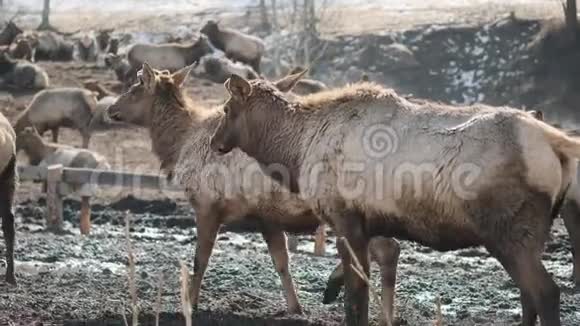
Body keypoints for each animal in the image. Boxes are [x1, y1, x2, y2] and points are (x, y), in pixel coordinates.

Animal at [105, 63, 394, 316]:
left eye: (136, 87)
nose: (110, 109)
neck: (178, 146)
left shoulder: (207, 205)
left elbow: (200, 259)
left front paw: (190, 303)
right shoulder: (267, 218)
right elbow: (282, 263)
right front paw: (295, 307)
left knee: (385, 251)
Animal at [211, 71, 580, 326]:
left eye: (227, 108)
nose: (215, 143)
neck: (297, 151)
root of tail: (556, 144)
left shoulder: (344, 217)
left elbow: (357, 298)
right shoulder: (369, 223)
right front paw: (331, 287)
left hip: (508, 231)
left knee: (545, 292)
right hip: (530, 234)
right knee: (528, 294)